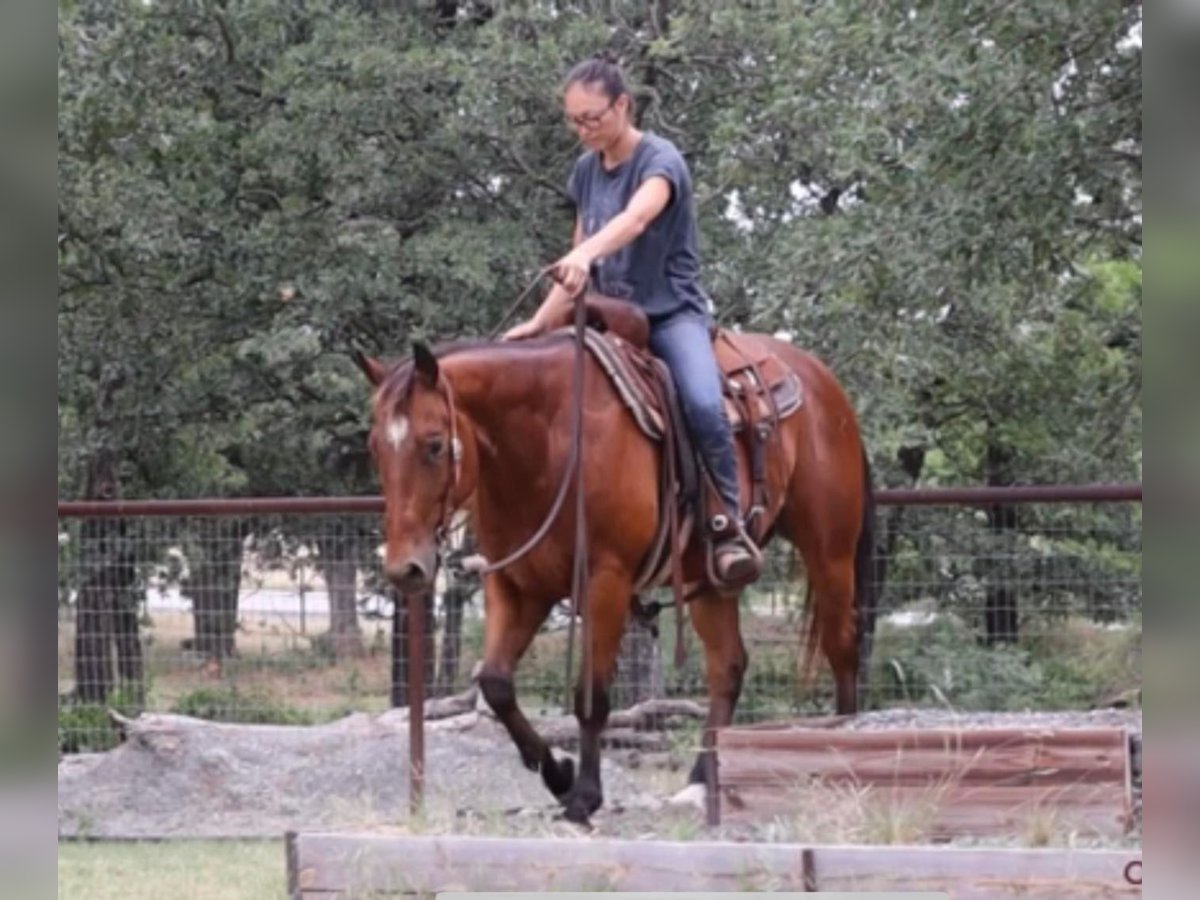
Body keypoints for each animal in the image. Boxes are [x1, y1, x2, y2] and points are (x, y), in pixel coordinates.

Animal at [352, 314, 873, 830]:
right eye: (374, 448)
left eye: (435, 445)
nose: (405, 568)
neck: (548, 440)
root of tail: (821, 379)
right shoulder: (517, 585)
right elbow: (496, 683)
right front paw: (559, 775)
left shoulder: (606, 580)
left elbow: (591, 695)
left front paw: (584, 795)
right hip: (711, 581)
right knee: (728, 666)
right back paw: (702, 779)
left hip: (829, 552)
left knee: (841, 647)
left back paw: (844, 751)